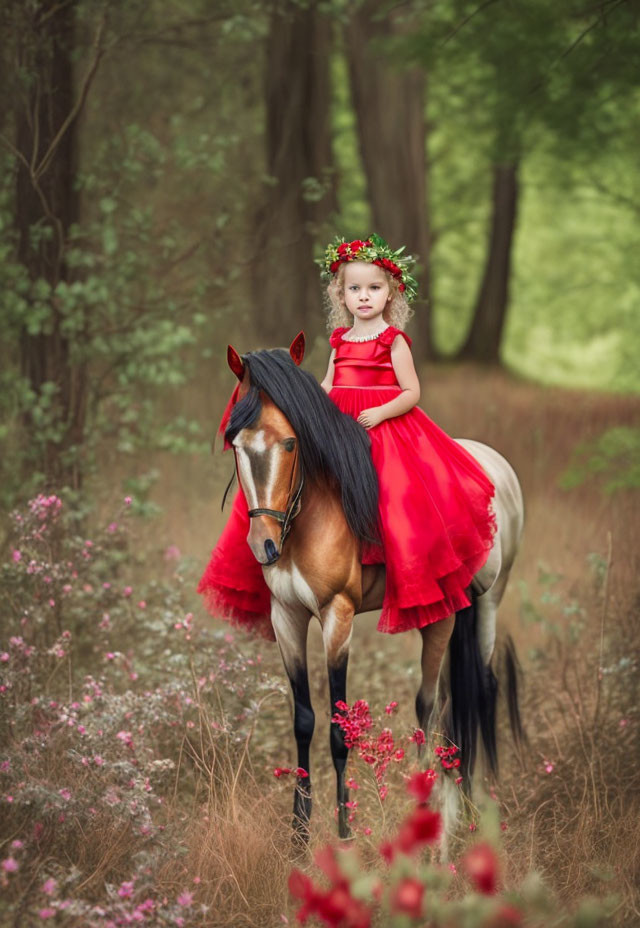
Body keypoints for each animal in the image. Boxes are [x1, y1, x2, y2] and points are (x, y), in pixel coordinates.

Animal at [222, 332, 524, 840]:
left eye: (291, 442)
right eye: (236, 445)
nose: (264, 545)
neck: (312, 512)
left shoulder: (337, 615)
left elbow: (339, 729)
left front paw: (344, 828)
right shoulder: (286, 616)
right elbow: (303, 720)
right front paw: (299, 831)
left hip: (485, 603)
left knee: (460, 696)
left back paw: (457, 804)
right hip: (449, 610)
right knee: (447, 702)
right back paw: (456, 799)